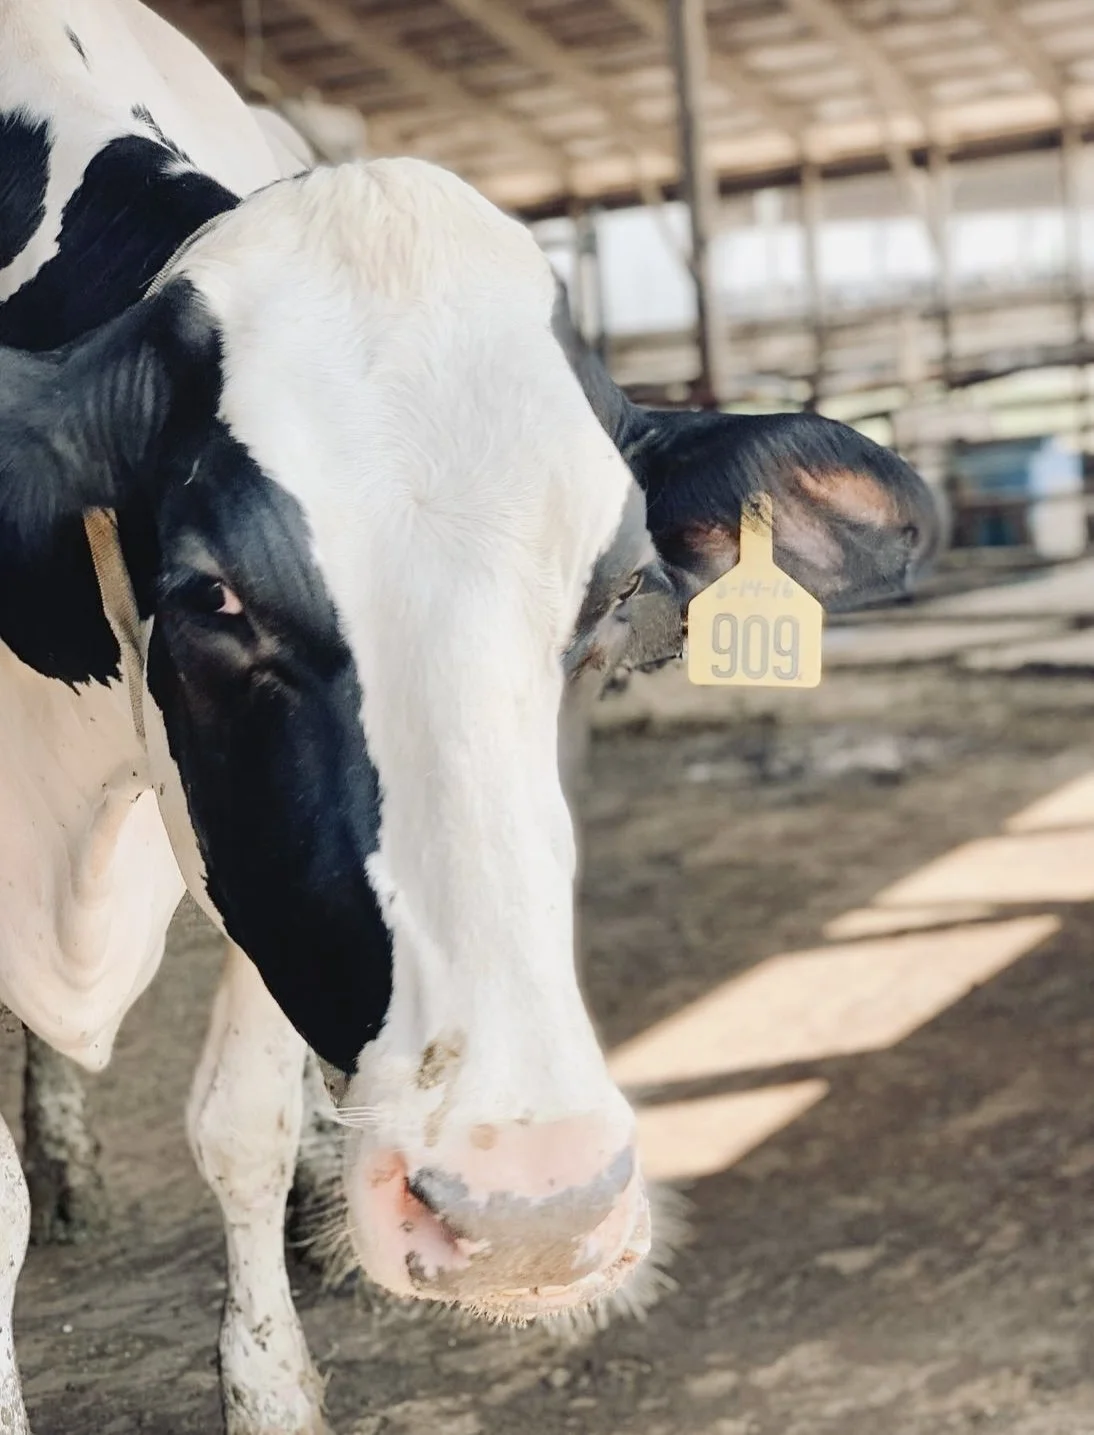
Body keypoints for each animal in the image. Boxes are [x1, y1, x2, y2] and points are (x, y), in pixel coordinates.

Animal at [0, 3, 940, 1432]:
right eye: (214, 597)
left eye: (619, 593)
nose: (526, 1214)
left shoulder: (250, 871)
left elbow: (240, 1126)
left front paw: (272, 1388)